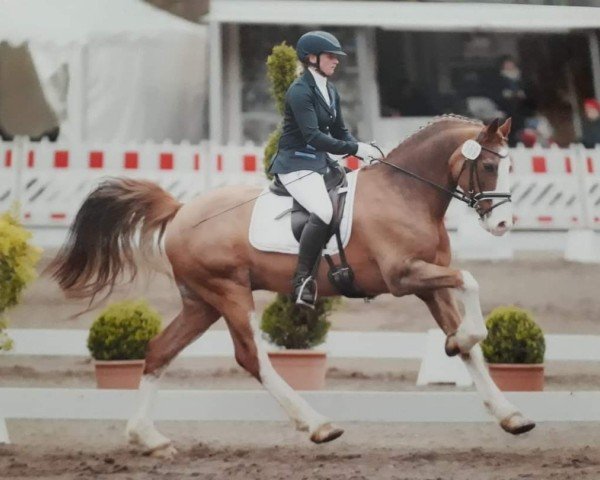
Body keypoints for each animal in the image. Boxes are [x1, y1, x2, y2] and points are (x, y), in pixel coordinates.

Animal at [49, 115, 532, 458]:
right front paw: (461, 340)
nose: (503, 225)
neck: (405, 193)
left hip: (201, 303)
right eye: (490, 165)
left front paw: (510, 415)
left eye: (509, 165)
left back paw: (148, 438)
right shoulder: (404, 276)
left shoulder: (429, 282)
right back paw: (318, 425)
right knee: (251, 357)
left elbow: (469, 344)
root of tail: (181, 210)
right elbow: (471, 284)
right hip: (229, 293)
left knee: (158, 351)